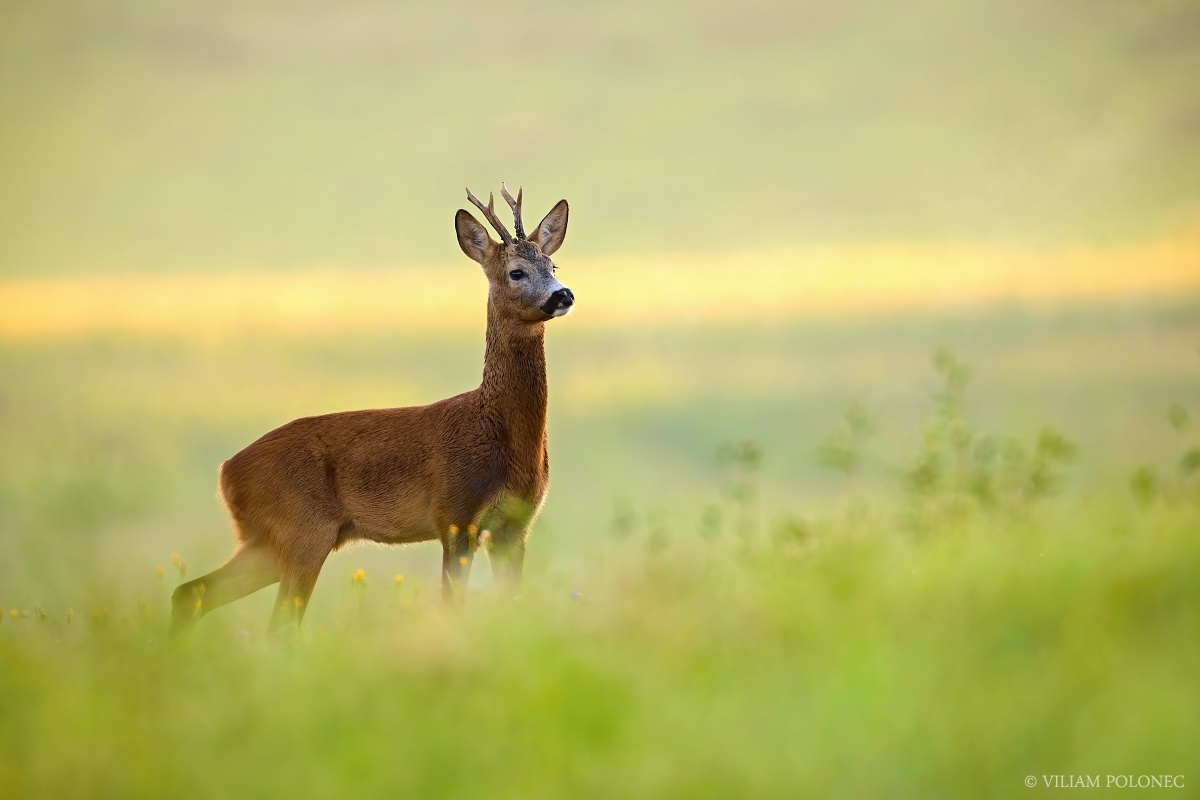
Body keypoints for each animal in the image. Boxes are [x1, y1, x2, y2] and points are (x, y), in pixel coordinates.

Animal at [170, 185, 576, 633]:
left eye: (552, 264)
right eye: (516, 272)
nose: (563, 294)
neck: (501, 436)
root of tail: (226, 473)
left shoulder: (515, 526)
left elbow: (514, 606)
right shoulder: (455, 514)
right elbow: (451, 606)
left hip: (269, 541)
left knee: (191, 592)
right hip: (302, 530)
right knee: (277, 623)